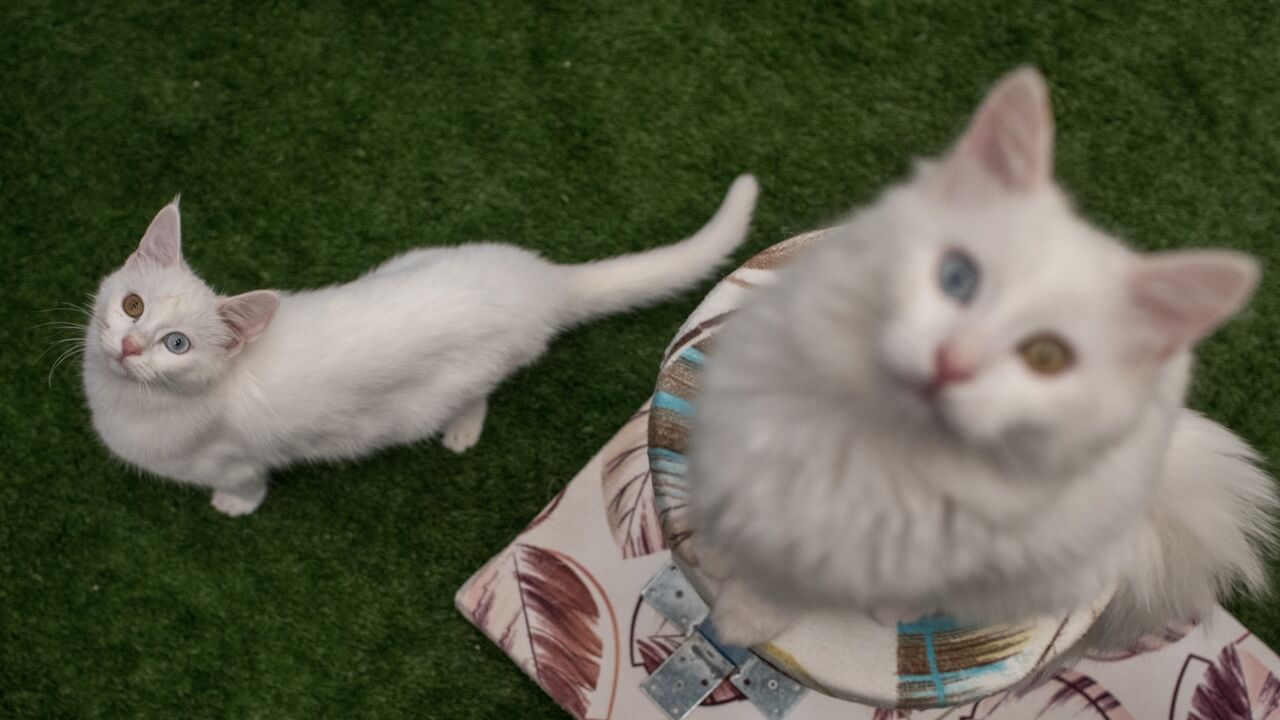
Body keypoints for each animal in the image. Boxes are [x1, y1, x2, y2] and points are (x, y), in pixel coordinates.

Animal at [85, 178, 757, 515]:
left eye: (177, 344)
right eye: (133, 306)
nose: (132, 346)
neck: (120, 405)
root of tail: (541, 281)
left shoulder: (238, 460)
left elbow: (248, 486)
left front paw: (233, 506)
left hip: (443, 391)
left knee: (478, 394)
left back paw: (462, 428)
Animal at [696, 68, 1274, 650]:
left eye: (1047, 357)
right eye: (958, 277)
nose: (954, 361)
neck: (865, 434)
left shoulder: (856, 557)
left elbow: (783, 586)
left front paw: (741, 618)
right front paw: (712, 551)